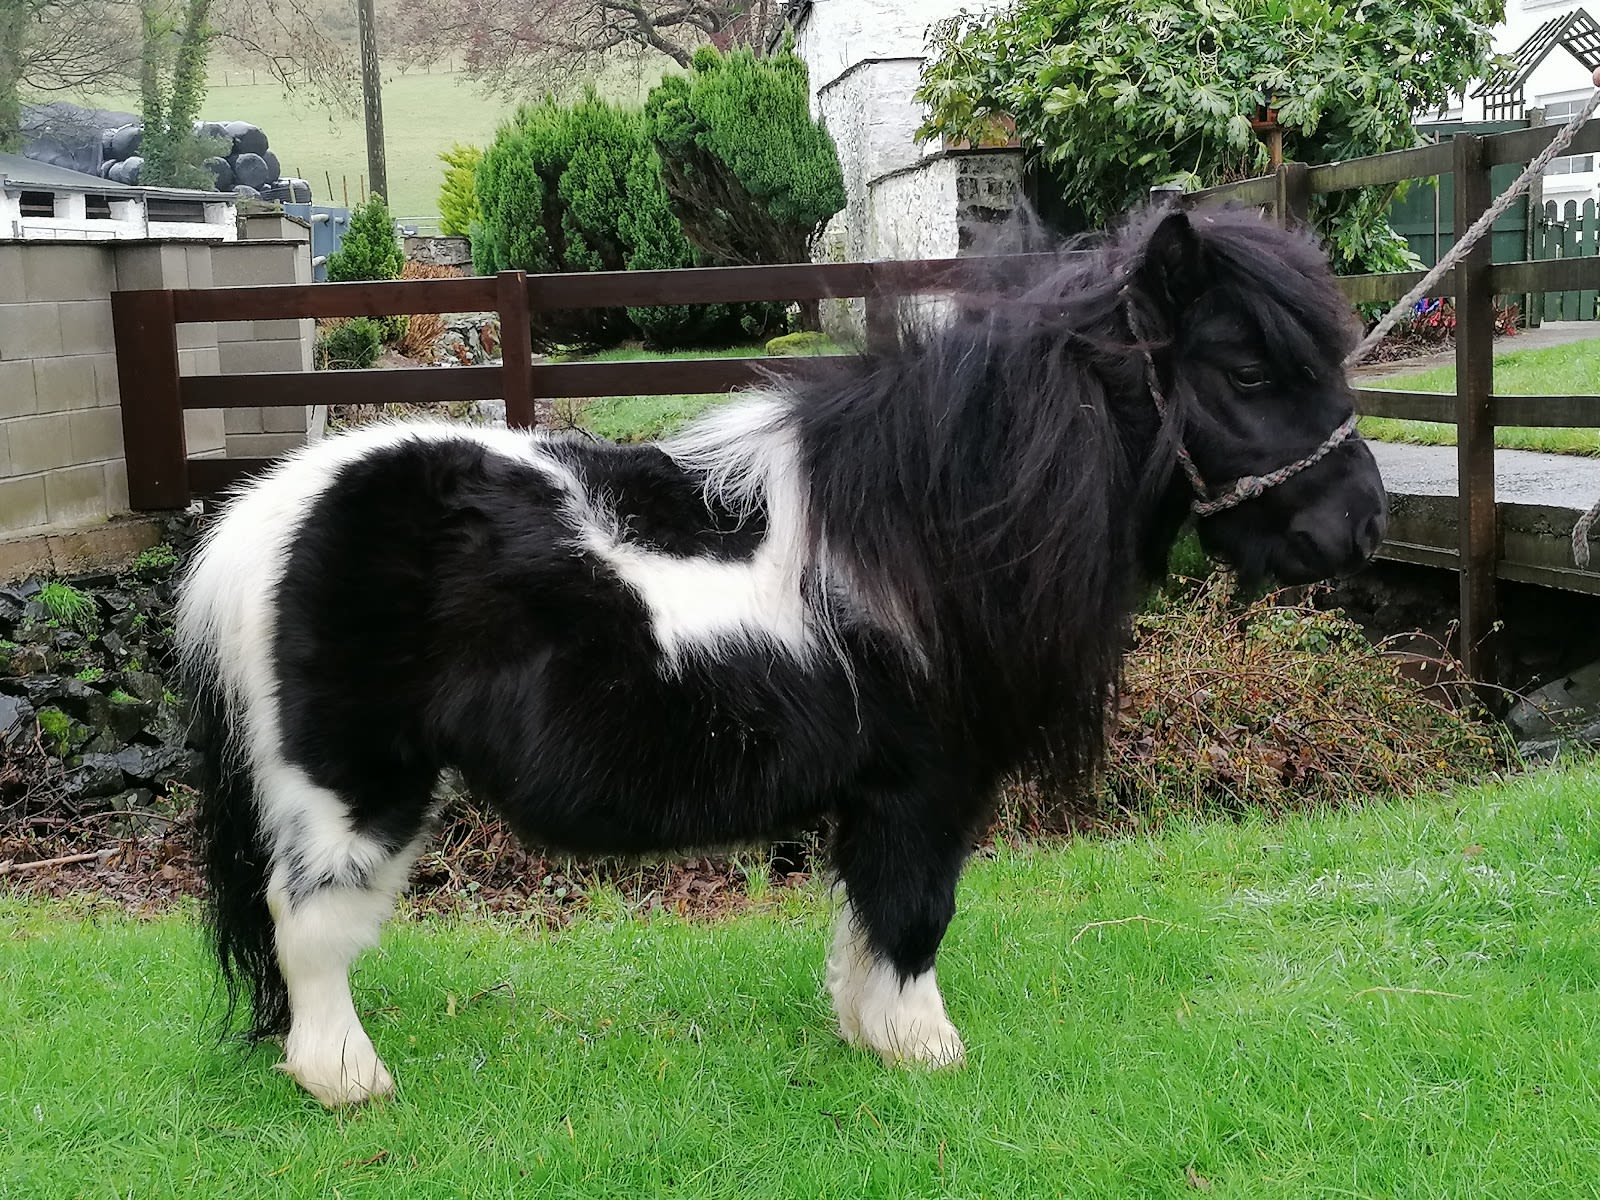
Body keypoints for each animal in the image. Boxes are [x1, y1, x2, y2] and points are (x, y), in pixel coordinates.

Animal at [177, 204, 1387, 1107]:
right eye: (1245, 369)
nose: (1363, 525)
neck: (924, 523)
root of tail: (267, 515)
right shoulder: (924, 785)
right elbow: (913, 910)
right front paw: (925, 1047)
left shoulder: (879, 791)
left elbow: (864, 915)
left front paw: (867, 1030)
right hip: (349, 790)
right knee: (309, 925)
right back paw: (346, 1079)